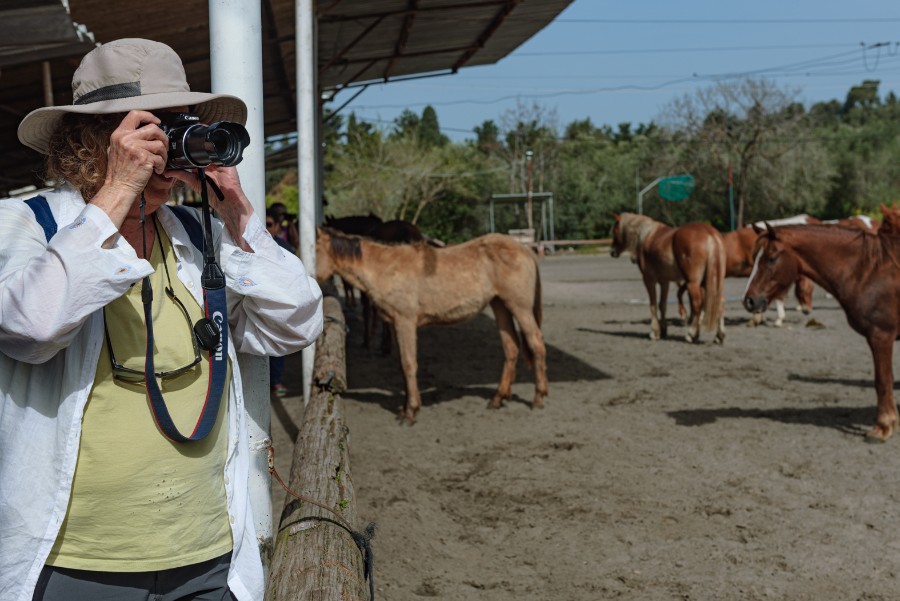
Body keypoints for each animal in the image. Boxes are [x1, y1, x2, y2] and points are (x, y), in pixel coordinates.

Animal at [314, 227, 548, 424]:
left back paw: (538, 398)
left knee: (536, 344)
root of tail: (525, 250)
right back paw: (498, 398)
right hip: (500, 304)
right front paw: (406, 408)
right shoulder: (397, 324)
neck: (385, 268)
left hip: (519, 307)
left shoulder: (405, 321)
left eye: (313, 250)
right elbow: (402, 366)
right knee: (511, 347)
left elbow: (409, 364)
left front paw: (410, 412)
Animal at [608, 211, 728, 342]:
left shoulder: (649, 280)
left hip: (693, 283)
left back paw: (691, 334)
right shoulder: (664, 282)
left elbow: (653, 305)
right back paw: (719, 335)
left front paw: (654, 332)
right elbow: (662, 305)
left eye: (615, 230)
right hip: (712, 282)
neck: (646, 236)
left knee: (697, 304)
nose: (612, 252)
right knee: (719, 302)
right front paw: (663, 330)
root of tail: (709, 233)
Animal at [740, 206, 900, 440]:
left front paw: (883, 426)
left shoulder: (881, 336)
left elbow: (883, 380)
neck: (870, 272)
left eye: (771, 258)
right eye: (754, 257)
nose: (750, 301)